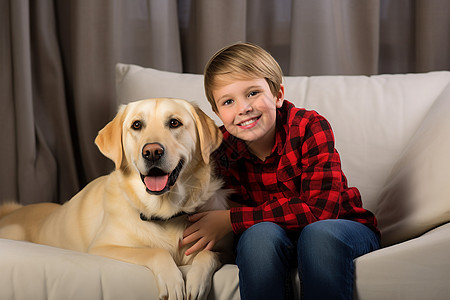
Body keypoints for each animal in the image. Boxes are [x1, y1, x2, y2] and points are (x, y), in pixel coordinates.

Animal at [0, 97, 229, 298]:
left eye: (174, 123)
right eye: (137, 125)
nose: (152, 152)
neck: (164, 212)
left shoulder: (222, 248)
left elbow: (208, 254)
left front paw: (196, 281)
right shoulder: (102, 248)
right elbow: (155, 252)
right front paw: (173, 282)